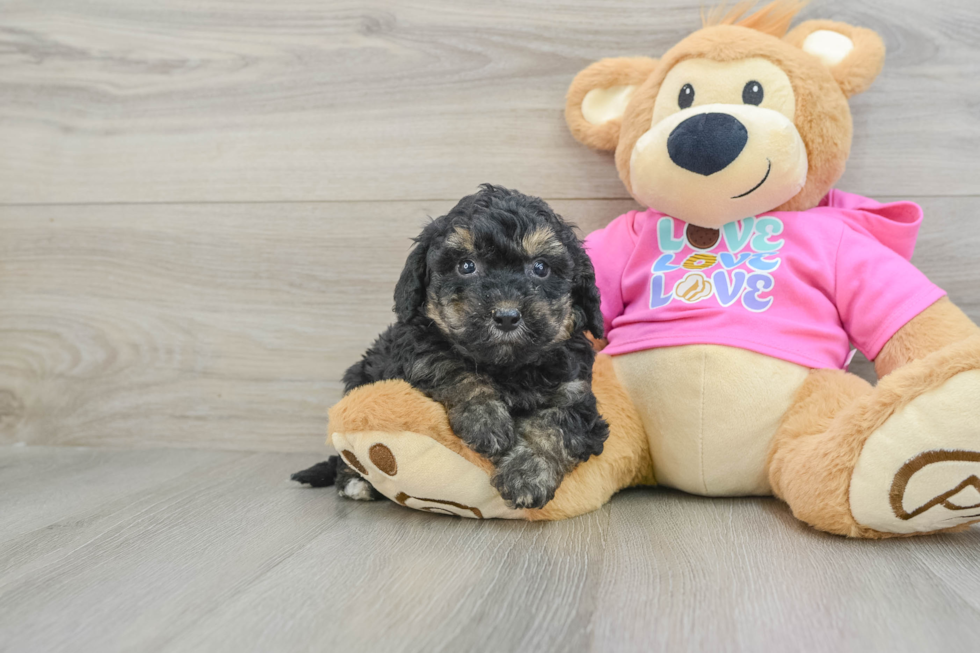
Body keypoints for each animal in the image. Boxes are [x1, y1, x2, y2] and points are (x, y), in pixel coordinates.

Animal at [294, 183, 608, 510]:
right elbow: (451, 366)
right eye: (466, 265)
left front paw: (526, 475)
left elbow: (554, 426)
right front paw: (486, 421)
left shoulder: (574, 392)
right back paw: (355, 482)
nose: (506, 316)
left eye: (541, 267)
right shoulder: (416, 349)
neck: (507, 367)